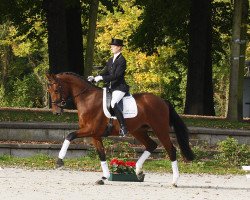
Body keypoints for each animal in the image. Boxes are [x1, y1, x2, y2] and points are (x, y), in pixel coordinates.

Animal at [47, 72, 195, 188]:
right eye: (49, 91)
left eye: (56, 90)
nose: (56, 112)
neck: (87, 98)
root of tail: (163, 101)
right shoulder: (95, 134)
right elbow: (101, 154)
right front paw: (104, 177)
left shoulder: (90, 130)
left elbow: (70, 135)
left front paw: (59, 161)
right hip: (138, 130)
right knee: (151, 145)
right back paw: (138, 171)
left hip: (160, 129)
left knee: (171, 149)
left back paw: (174, 181)